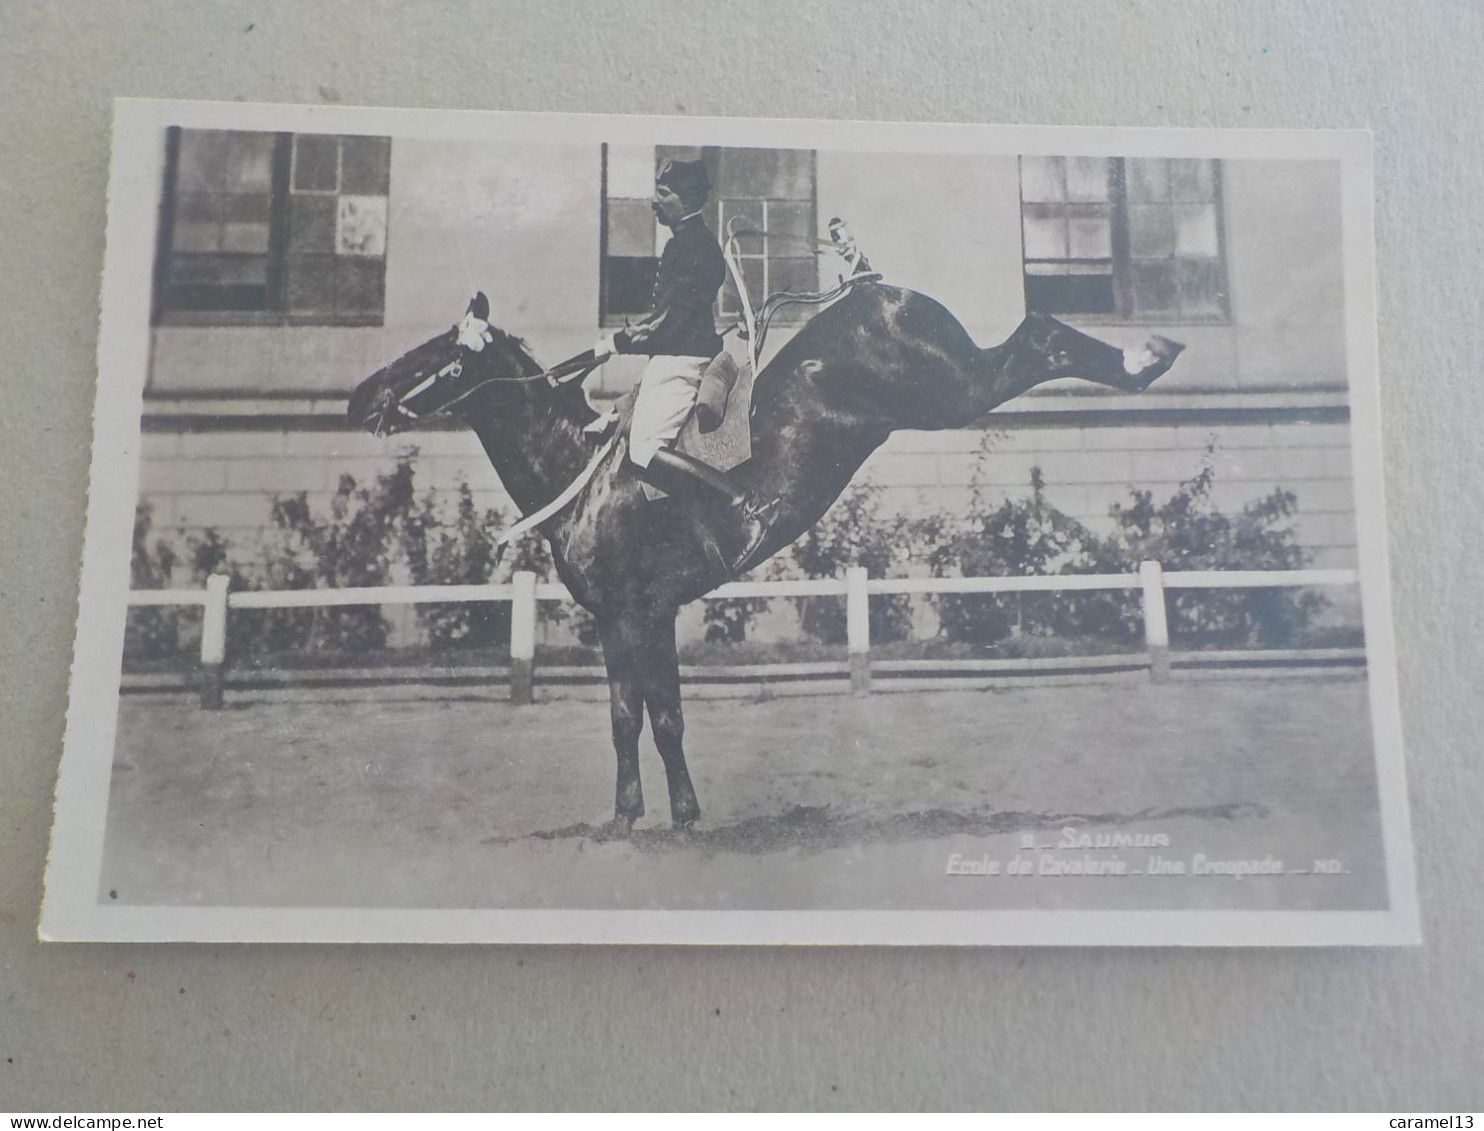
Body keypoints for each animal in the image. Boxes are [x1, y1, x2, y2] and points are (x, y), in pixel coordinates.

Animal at [347, 282, 1181, 831]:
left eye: (435, 357)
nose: (357, 398)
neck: (578, 472)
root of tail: (881, 291)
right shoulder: (640, 617)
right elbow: (652, 715)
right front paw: (665, 814)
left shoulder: (632, 614)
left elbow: (639, 718)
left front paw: (644, 819)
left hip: (952, 395)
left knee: (1037, 334)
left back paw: (1145, 356)